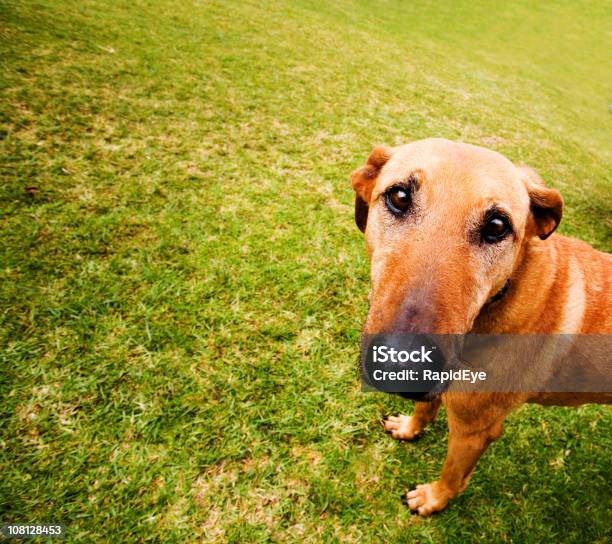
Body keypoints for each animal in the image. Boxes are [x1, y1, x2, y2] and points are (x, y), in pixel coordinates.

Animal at [352, 139, 608, 516]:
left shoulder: (474, 431)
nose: (404, 365)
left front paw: (433, 499)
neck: (500, 298)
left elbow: (452, 475)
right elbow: (424, 409)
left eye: (497, 226)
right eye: (399, 197)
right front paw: (410, 428)